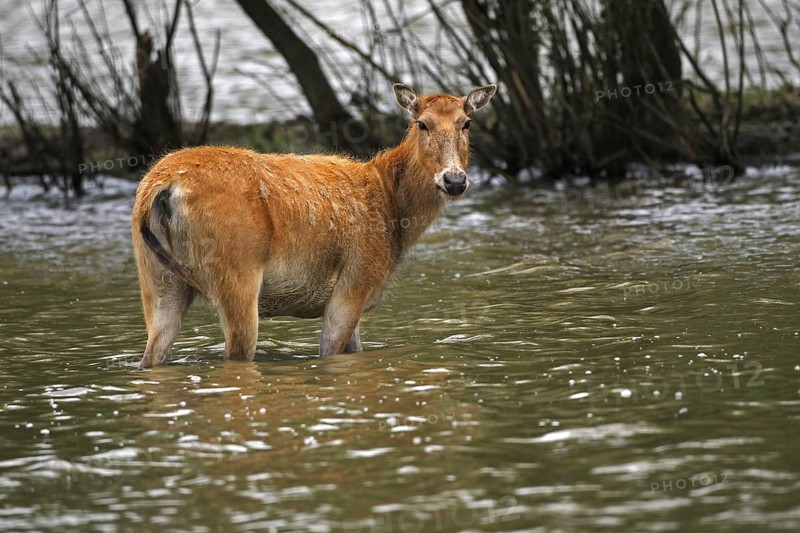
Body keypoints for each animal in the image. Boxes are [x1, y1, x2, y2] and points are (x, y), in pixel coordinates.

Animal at [131, 83, 496, 368]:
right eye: (422, 124)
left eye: (466, 123)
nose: (454, 180)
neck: (395, 216)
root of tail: (163, 189)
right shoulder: (356, 279)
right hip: (236, 271)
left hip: (155, 278)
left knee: (152, 353)